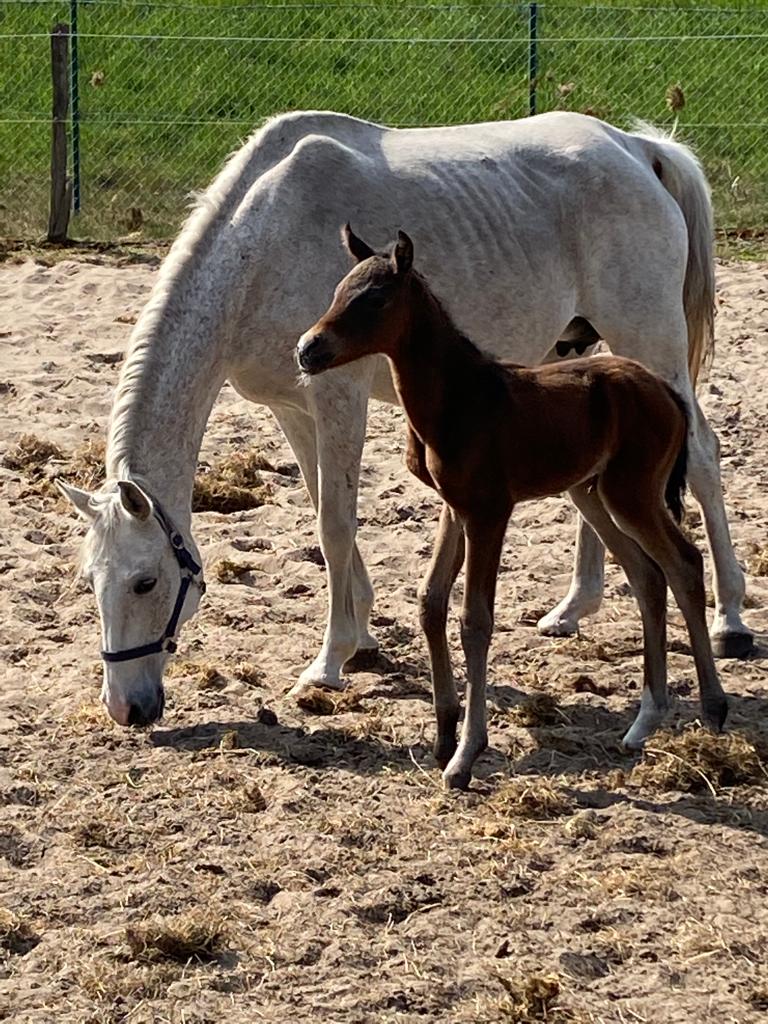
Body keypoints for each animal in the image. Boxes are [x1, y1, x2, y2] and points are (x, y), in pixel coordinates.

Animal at [58, 112, 753, 729]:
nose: (126, 709)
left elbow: (335, 524)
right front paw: (362, 636)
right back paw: (572, 610)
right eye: (91, 581)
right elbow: (322, 510)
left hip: (651, 341)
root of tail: (637, 150)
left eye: (146, 582)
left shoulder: (337, 396)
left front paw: (328, 661)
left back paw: (731, 622)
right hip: (581, 351)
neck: (263, 242)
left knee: (705, 455)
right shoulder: (292, 407)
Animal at [296, 228, 729, 786]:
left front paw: (465, 756)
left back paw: (713, 707)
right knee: (647, 576)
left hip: (633, 493)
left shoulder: (489, 512)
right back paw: (643, 722)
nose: (307, 349)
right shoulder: (454, 507)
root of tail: (666, 391)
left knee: (683, 563)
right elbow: (431, 602)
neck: (459, 397)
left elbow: (475, 619)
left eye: (373, 299)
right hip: (595, 493)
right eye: (336, 292)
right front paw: (443, 735)